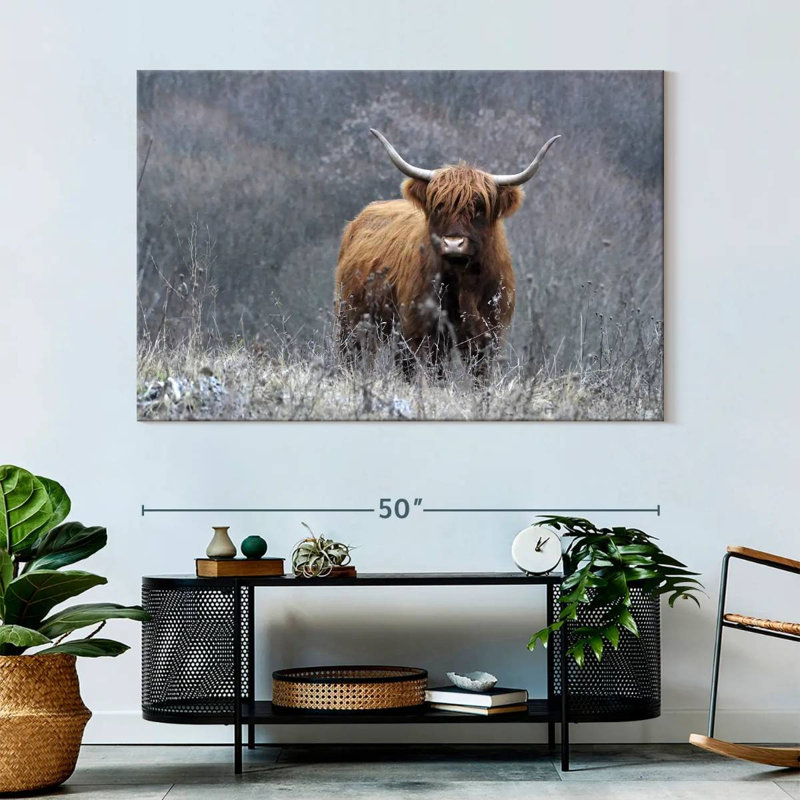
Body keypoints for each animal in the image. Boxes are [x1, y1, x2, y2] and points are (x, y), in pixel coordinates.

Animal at [334, 128, 560, 378]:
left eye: (479, 208)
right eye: (440, 206)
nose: (453, 244)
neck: (463, 283)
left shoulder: (488, 334)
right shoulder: (420, 330)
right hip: (350, 319)